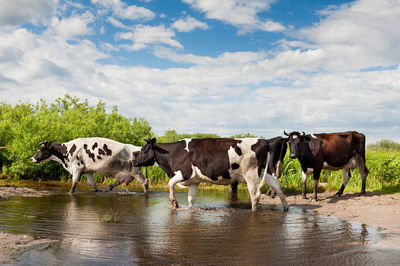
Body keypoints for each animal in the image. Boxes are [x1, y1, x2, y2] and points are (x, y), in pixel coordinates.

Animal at [134, 138, 288, 211]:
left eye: (144, 149)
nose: (135, 161)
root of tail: (262, 140)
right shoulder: (194, 181)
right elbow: (191, 199)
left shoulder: (184, 172)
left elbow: (170, 183)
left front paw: (174, 202)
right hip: (264, 171)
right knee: (278, 187)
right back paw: (286, 208)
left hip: (251, 173)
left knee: (255, 195)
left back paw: (253, 211)